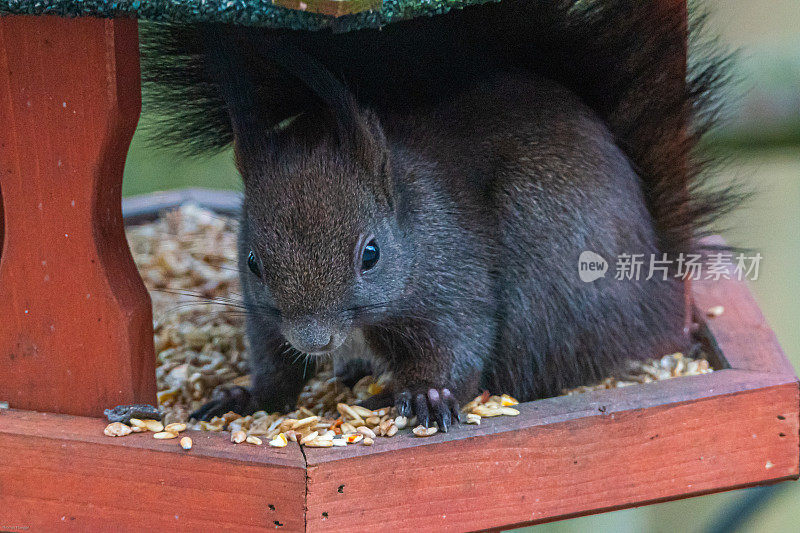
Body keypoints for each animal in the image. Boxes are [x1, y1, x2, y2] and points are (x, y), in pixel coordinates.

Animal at [141, 0, 740, 430]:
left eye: (371, 254)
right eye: (252, 263)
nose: (314, 339)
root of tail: (657, 298)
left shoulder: (455, 275)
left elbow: (457, 344)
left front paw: (429, 396)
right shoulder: (265, 313)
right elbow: (275, 362)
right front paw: (247, 397)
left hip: (547, 266)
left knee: (525, 372)